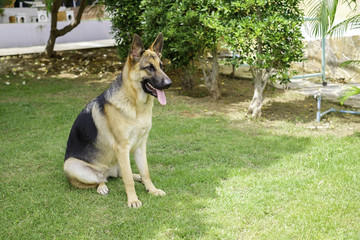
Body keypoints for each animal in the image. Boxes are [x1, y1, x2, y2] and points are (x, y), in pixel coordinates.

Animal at [63, 33, 172, 208]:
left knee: (122, 174)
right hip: (72, 166)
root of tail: (107, 172)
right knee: (99, 180)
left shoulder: (140, 145)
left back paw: (137, 178)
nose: (169, 84)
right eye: (149, 67)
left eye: (161, 66)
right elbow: (127, 179)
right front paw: (133, 200)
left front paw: (152, 189)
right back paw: (102, 187)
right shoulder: (122, 148)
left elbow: (145, 172)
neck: (135, 105)